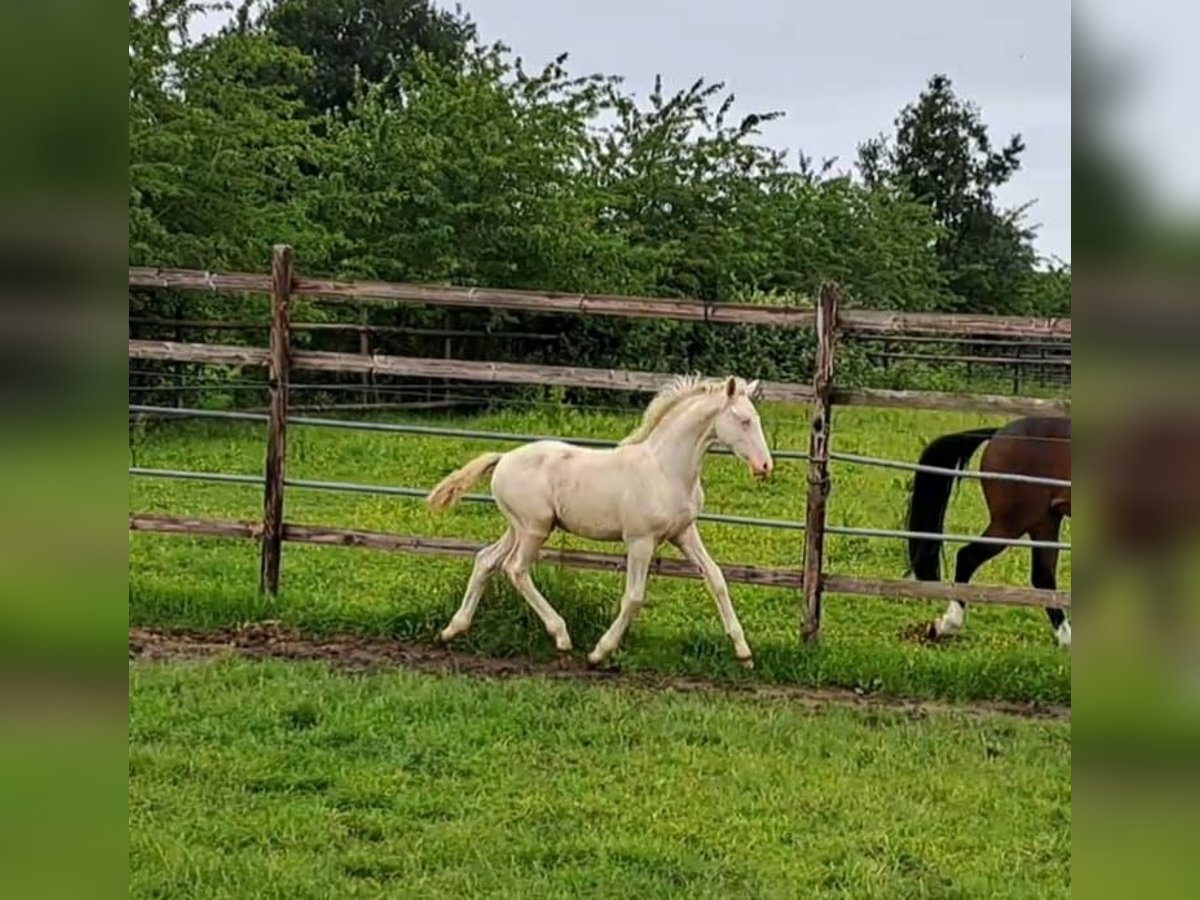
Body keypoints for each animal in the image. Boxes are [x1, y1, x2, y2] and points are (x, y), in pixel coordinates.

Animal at [902, 415, 1075, 648]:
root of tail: (999, 432)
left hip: (1045, 520)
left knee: (1043, 577)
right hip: (1013, 522)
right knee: (967, 557)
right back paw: (948, 624)